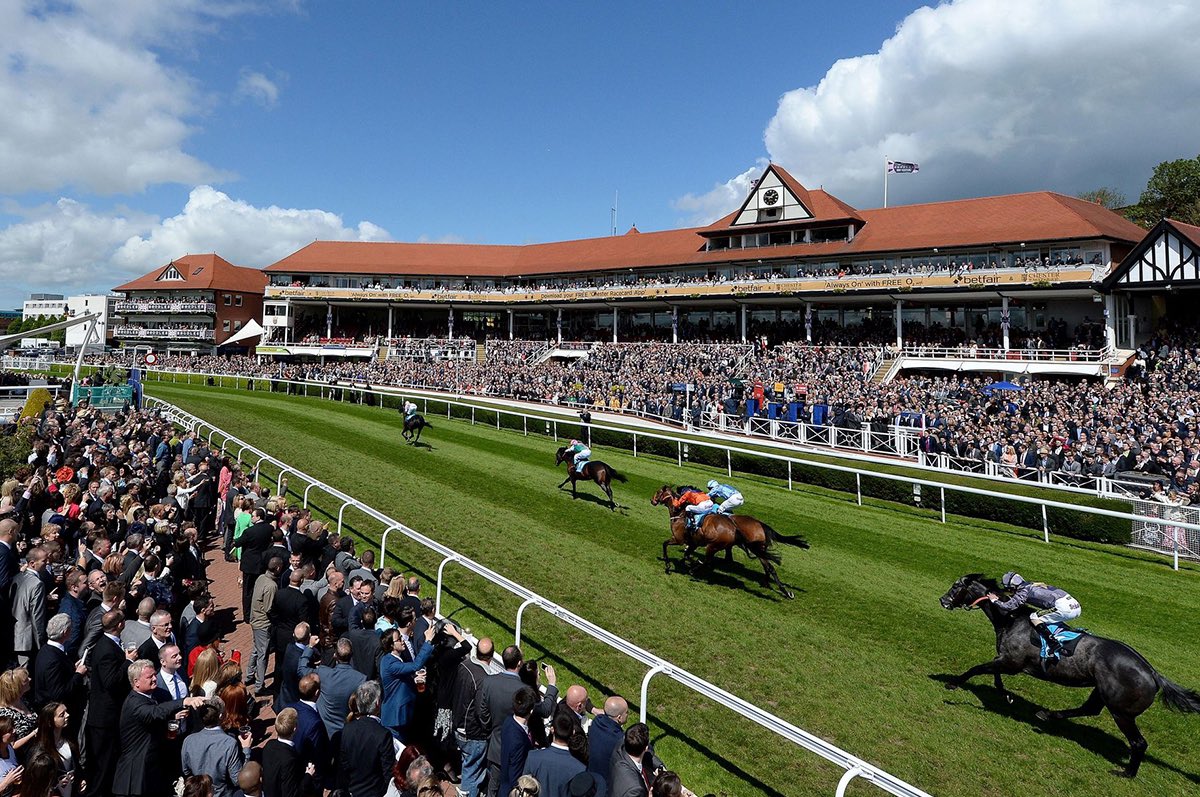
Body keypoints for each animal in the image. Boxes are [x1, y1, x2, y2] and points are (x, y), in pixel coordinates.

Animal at [648, 484, 796, 597]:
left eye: (658, 492)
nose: (652, 500)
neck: (681, 513)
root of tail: (760, 524)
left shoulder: (678, 539)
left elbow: (666, 545)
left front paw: (669, 565)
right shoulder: (693, 543)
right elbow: (686, 554)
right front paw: (688, 562)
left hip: (713, 546)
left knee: (709, 561)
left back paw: (694, 571)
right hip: (756, 549)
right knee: (768, 567)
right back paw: (782, 590)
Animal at [940, 573, 1195, 777]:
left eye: (955, 586)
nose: (943, 600)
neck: (1011, 620)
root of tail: (1152, 672)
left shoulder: (1011, 662)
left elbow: (978, 668)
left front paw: (953, 683)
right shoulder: (1006, 661)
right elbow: (994, 676)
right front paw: (1006, 695)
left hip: (1121, 711)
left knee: (1138, 743)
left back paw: (1126, 773)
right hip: (1102, 691)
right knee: (1089, 709)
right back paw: (1046, 714)